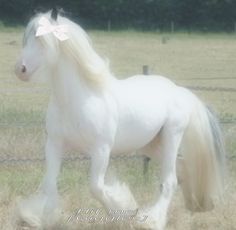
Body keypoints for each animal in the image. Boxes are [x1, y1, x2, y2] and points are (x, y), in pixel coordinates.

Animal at [14, 9, 225, 230]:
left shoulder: (101, 150)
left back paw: (152, 220)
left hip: (171, 137)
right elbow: (50, 184)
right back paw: (194, 205)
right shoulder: (54, 144)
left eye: (42, 39)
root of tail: (179, 91)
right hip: (151, 145)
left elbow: (96, 187)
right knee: (182, 170)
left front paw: (125, 211)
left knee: (170, 181)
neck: (78, 99)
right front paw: (40, 218)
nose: (20, 69)